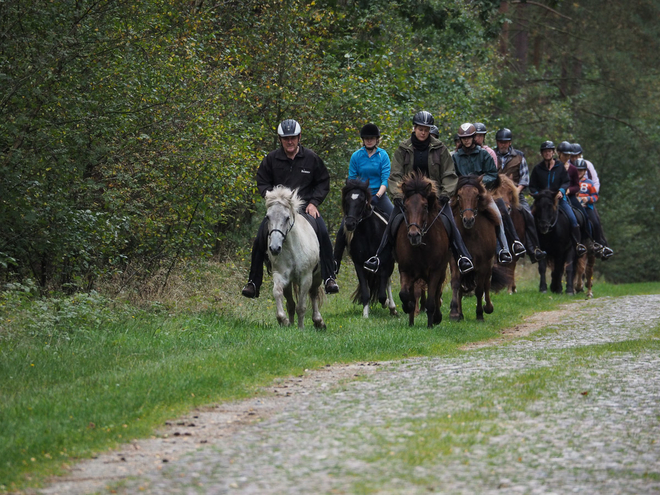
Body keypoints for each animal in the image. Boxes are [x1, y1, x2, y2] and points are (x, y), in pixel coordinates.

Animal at [262, 186, 324, 330]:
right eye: (268, 217)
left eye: (286, 218)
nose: (274, 248)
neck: (292, 248)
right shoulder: (280, 275)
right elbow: (277, 292)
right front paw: (283, 320)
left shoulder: (306, 278)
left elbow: (301, 307)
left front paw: (301, 328)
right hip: (290, 282)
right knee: (290, 303)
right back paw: (290, 324)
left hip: (317, 277)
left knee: (314, 294)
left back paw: (318, 321)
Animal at [336, 180, 398, 320]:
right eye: (346, 199)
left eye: (362, 200)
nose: (349, 224)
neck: (368, 233)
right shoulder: (359, 264)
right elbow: (365, 291)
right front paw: (365, 314)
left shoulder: (384, 263)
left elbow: (382, 295)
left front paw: (387, 303)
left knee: (388, 283)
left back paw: (393, 308)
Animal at [394, 172, 452, 328]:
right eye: (405, 207)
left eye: (425, 206)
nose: (414, 235)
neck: (420, 248)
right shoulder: (406, 270)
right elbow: (404, 294)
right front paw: (407, 307)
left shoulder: (435, 272)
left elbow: (432, 299)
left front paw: (431, 323)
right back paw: (411, 320)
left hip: (441, 271)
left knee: (437, 292)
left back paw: (436, 317)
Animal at [448, 174, 500, 322]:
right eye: (459, 196)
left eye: (477, 196)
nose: (468, 220)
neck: (470, 234)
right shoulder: (455, 260)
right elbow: (456, 283)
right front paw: (454, 313)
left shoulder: (483, 264)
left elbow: (479, 289)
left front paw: (479, 314)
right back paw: (460, 313)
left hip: (489, 264)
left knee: (486, 283)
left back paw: (488, 307)